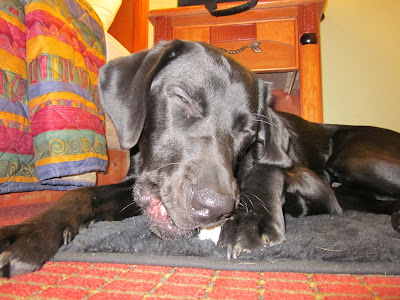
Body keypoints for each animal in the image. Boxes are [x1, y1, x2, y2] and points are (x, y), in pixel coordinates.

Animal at [0, 40, 400, 276]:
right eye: (183, 99)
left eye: (249, 130)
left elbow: (264, 170)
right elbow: (80, 194)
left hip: (354, 160)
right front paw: (28, 232)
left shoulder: (314, 183)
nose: (212, 209)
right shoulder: (136, 187)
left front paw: (250, 219)